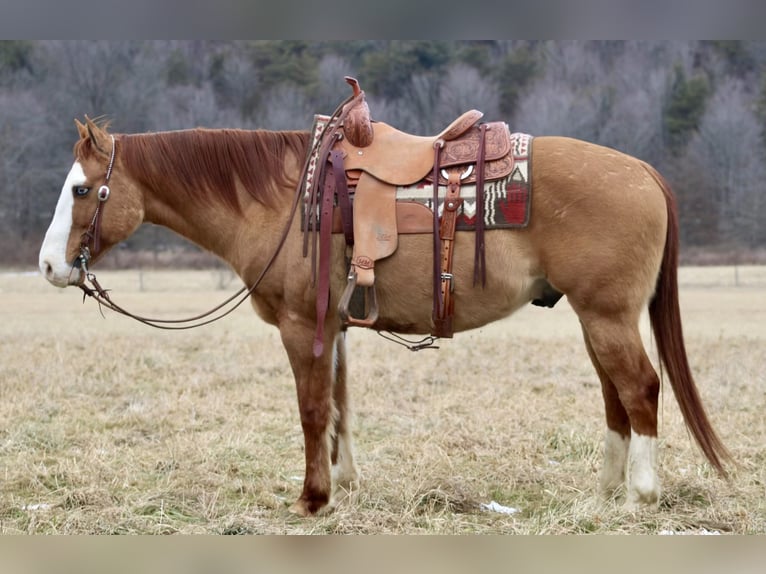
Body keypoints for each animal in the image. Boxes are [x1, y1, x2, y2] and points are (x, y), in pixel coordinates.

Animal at [37, 115, 732, 516]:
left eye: (81, 189)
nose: (48, 266)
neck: (282, 201)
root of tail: (643, 171)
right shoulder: (335, 327)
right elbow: (341, 404)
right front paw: (343, 483)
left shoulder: (302, 326)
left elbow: (312, 408)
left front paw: (313, 498)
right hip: (595, 320)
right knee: (616, 397)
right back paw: (603, 496)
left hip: (607, 317)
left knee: (640, 389)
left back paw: (640, 494)